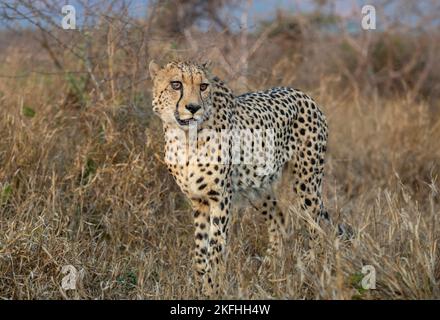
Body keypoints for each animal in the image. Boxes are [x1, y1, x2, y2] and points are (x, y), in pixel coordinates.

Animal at [150, 60, 336, 296]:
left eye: (203, 86)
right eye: (176, 84)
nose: (193, 108)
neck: (185, 137)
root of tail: (303, 94)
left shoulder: (220, 197)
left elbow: (216, 248)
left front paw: (212, 288)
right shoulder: (198, 200)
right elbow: (201, 249)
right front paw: (199, 286)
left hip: (307, 183)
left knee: (316, 227)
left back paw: (313, 272)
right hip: (258, 188)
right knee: (280, 220)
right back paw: (270, 268)